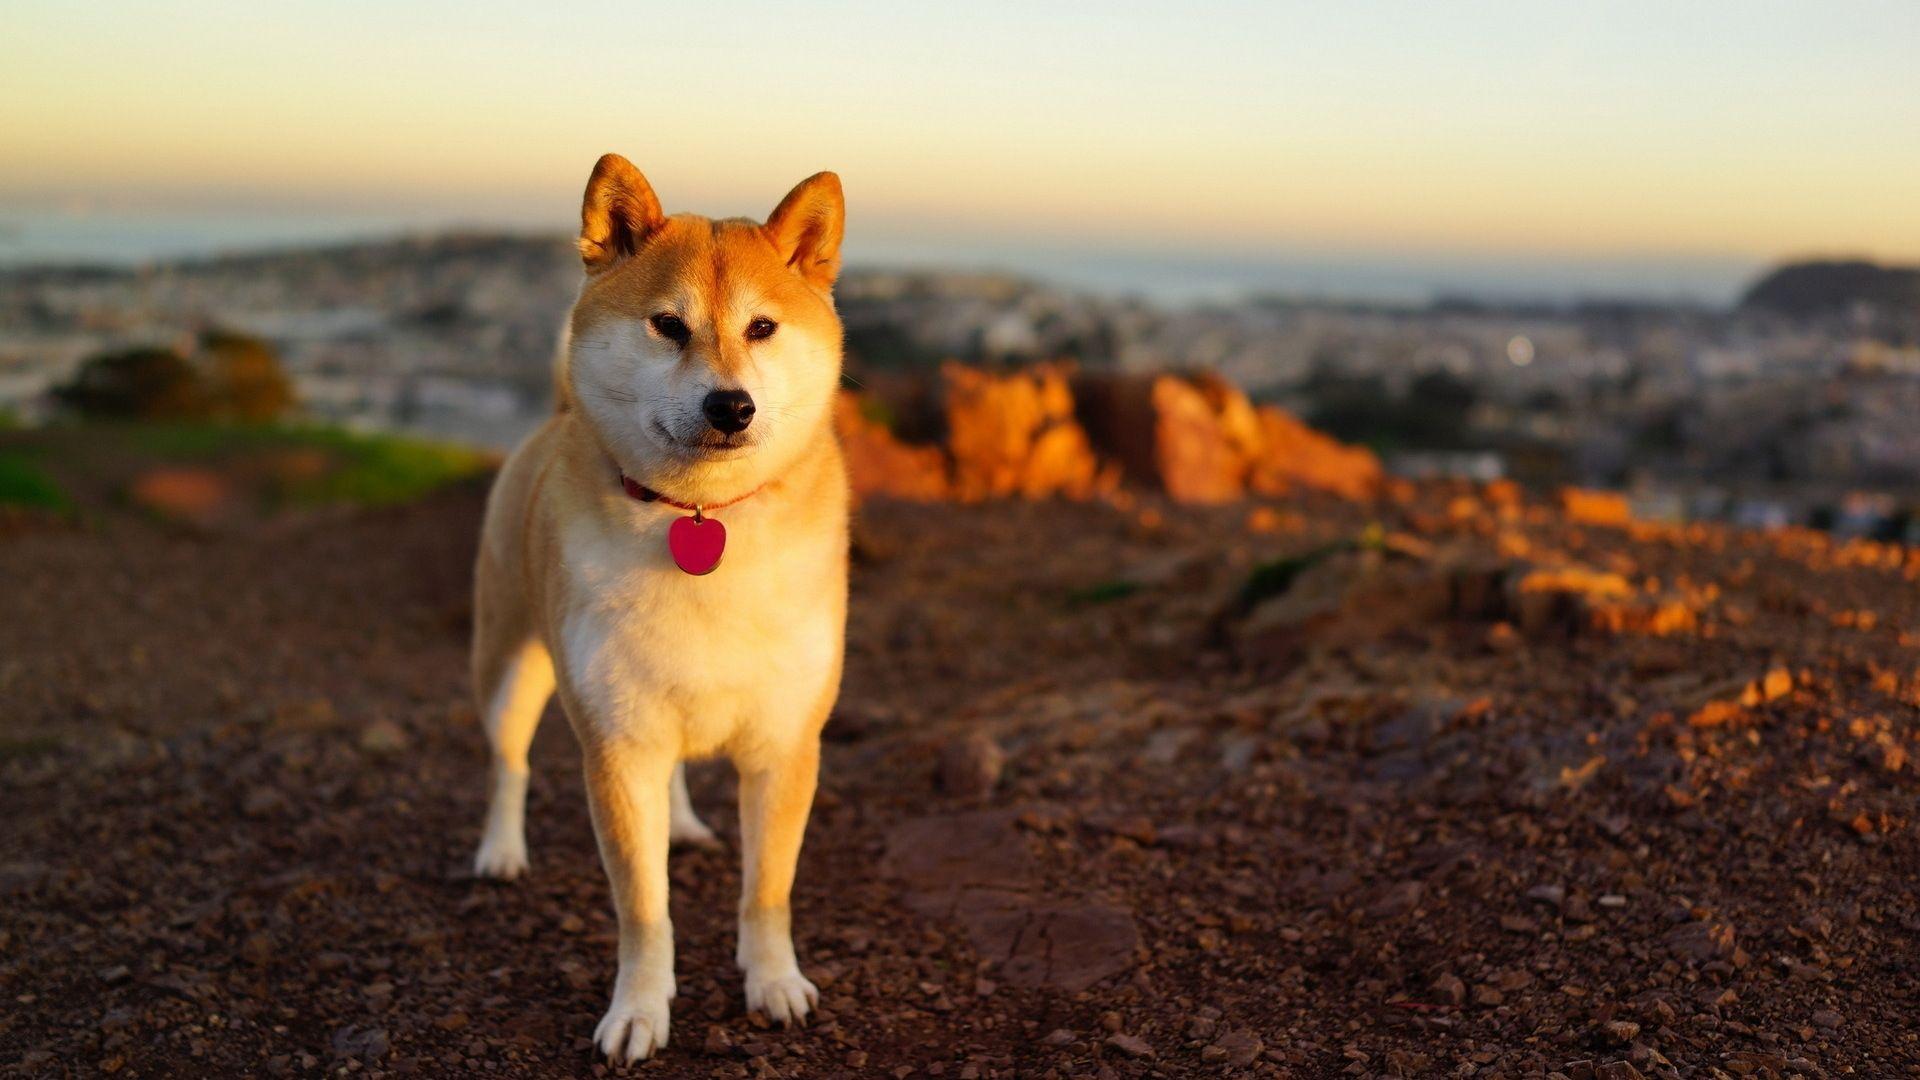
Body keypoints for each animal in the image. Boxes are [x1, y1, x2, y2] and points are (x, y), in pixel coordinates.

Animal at [464, 153, 848, 1060]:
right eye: (668, 326)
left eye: (762, 328)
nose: (730, 405)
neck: (700, 517)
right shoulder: (618, 746)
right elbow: (644, 909)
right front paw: (638, 1011)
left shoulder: (784, 743)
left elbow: (767, 891)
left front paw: (774, 984)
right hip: (509, 667)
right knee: (509, 763)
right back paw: (500, 849)